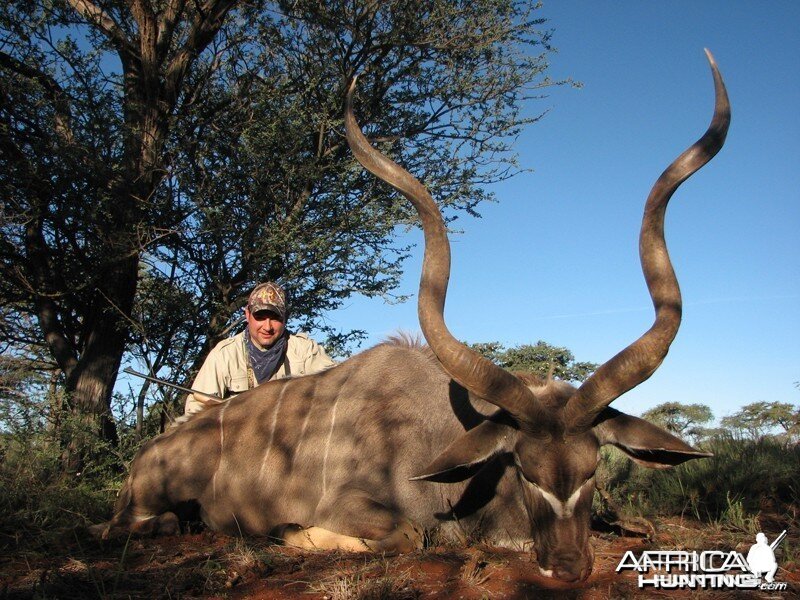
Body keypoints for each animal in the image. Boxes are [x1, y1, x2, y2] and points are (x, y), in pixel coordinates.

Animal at [95, 49, 732, 584]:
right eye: (524, 468)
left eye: (593, 469)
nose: (569, 566)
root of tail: (150, 454)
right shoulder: (360, 508)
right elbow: (403, 535)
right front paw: (288, 532)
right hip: (143, 508)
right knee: (132, 525)